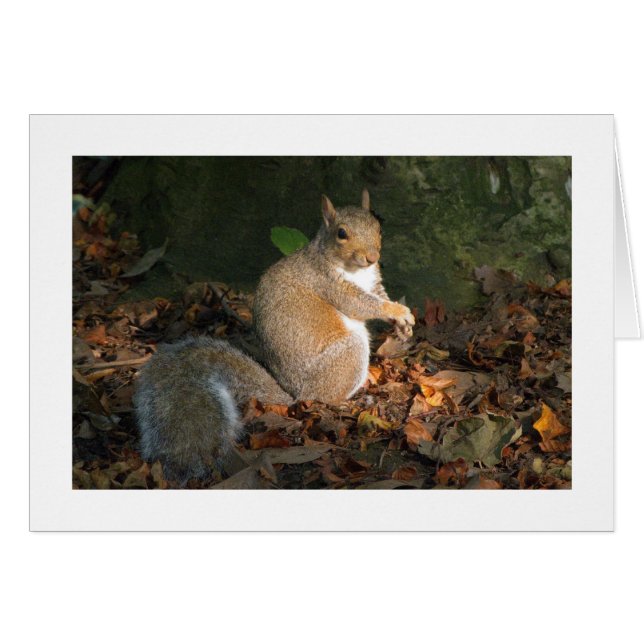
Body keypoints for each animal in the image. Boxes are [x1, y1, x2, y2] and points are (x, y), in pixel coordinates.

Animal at [133, 190, 415, 483]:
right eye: (341, 233)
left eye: (378, 227)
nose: (372, 257)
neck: (355, 270)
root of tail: (295, 396)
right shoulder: (328, 283)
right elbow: (360, 304)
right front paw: (395, 311)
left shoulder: (373, 281)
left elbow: (378, 295)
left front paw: (403, 323)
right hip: (347, 355)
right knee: (328, 396)